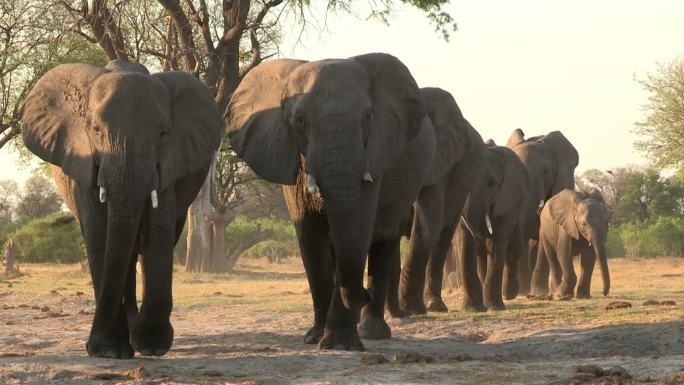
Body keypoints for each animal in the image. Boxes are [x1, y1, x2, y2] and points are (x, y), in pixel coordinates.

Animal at [20, 59, 222, 356]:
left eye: (163, 134)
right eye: (96, 130)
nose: (90, 345)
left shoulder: (167, 163)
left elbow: (158, 229)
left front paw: (151, 345)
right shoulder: (84, 164)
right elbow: (99, 232)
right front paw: (111, 351)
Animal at [224, 52, 440, 350]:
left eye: (368, 117)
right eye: (299, 120)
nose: (361, 294)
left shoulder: (374, 155)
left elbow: (360, 228)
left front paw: (340, 344)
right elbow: (310, 238)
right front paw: (315, 338)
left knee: (383, 238)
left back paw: (371, 331)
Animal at [454, 142, 528, 310]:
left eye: (492, 183)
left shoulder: (506, 201)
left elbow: (497, 243)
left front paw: (494, 308)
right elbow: (465, 241)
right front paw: (472, 309)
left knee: (514, 248)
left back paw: (509, 294)